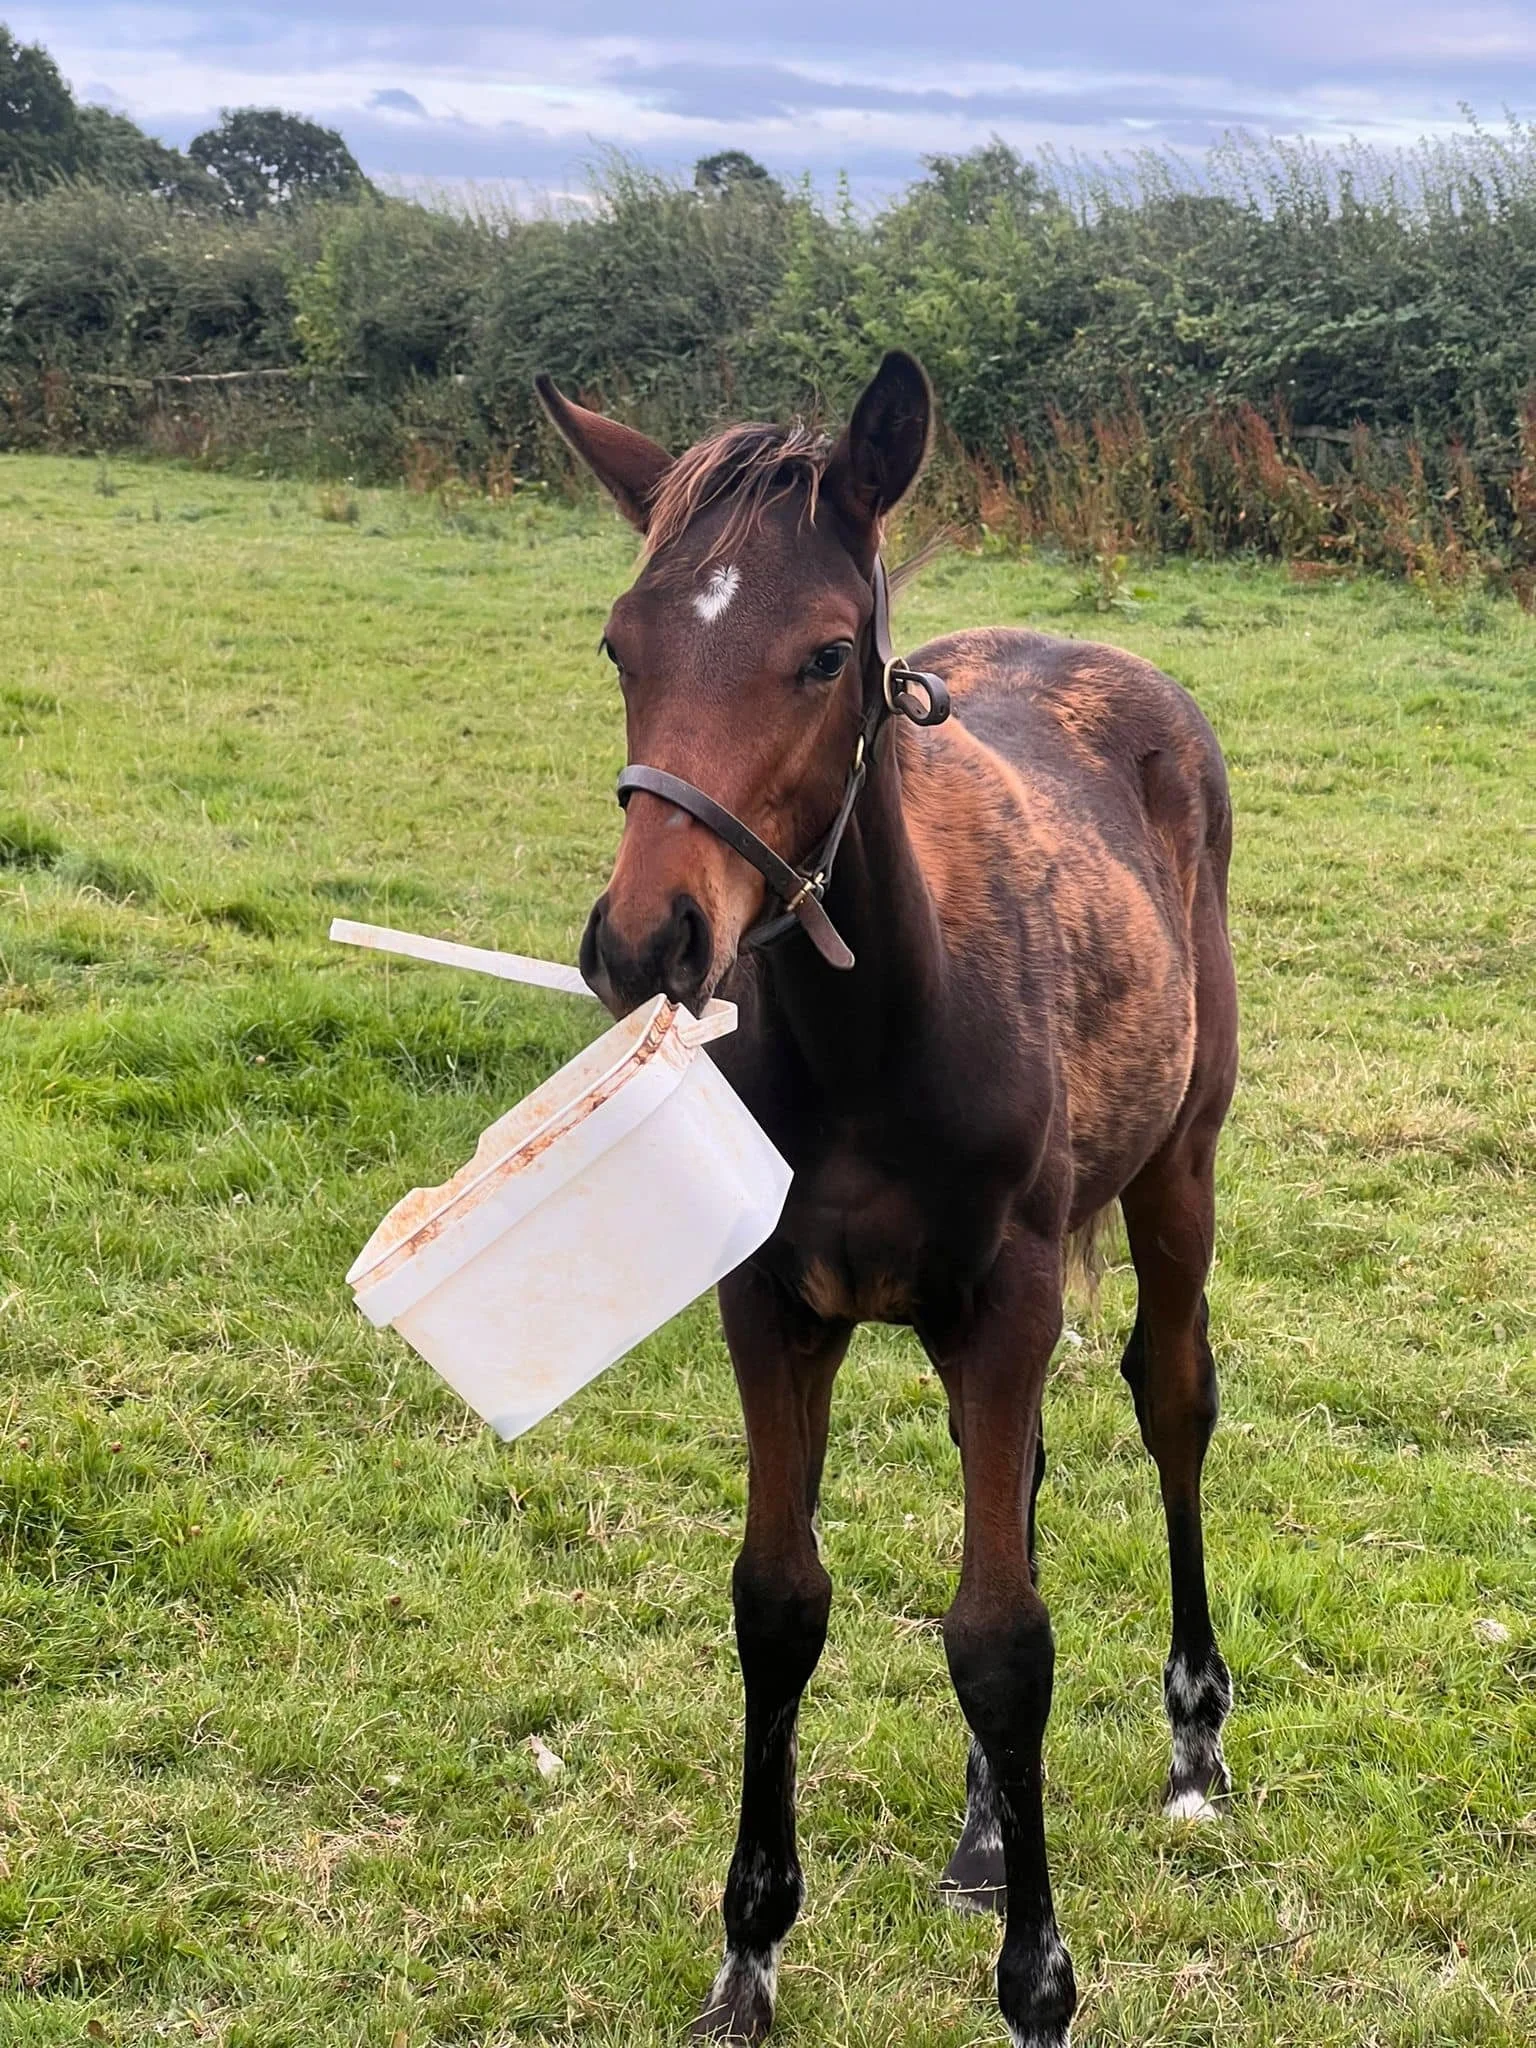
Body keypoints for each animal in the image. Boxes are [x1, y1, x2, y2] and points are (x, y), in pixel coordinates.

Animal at [533, 351, 1238, 2048]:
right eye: (620, 641)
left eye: (826, 655)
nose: (644, 941)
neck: (873, 1036)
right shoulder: (772, 1302)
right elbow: (782, 1601)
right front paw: (748, 1955)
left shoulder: (1010, 1292)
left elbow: (1004, 1637)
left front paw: (1040, 1986)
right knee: (1025, 1474)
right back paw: (986, 1828)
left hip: (1178, 1167)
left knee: (1172, 1399)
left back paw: (1193, 1741)